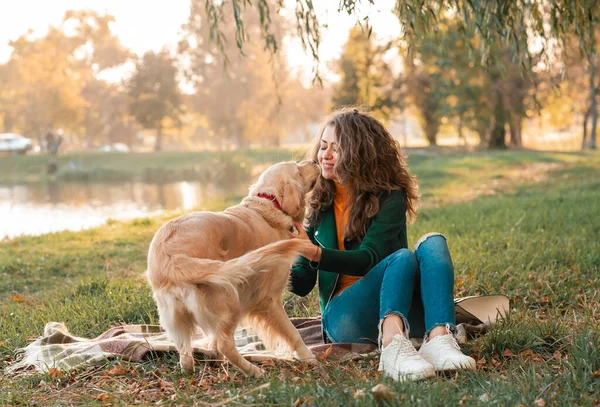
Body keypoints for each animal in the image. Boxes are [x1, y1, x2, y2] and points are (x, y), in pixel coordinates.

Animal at [146, 161, 322, 378]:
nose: (315, 162)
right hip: (231, 299)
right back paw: (254, 371)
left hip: (177, 318)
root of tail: (174, 259)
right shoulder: (268, 299)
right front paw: (309, 359)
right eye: (298, 168)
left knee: (186, 356)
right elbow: (293, 333)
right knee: (225, 345)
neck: (268, 205)